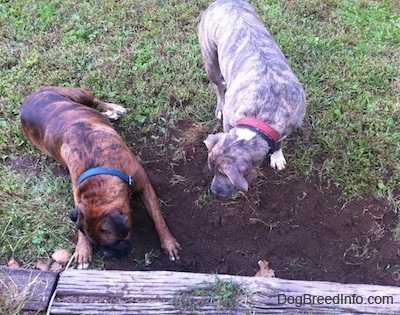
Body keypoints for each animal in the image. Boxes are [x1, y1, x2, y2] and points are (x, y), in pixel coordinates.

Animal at [20, 86, 180, 270]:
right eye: (95, 243)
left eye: (116, 242)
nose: (108, 255)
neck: (100, 172)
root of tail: (29, 97)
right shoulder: (78, 194)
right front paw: (82, 249)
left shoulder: (145, 186)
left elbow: (158, 218)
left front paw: (168, 242)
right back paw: (110, 113)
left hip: (79, 95)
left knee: (96, 100)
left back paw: (115, 109)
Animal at [198, 0, 306, 196]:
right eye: (212, 171)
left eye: (223, 176)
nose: (214, 191)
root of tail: (226, 1)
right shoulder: (229, 123)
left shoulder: (285, 129)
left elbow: (279, 143)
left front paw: (277, 157)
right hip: (211, 62)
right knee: (218, 87)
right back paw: (220, 104)